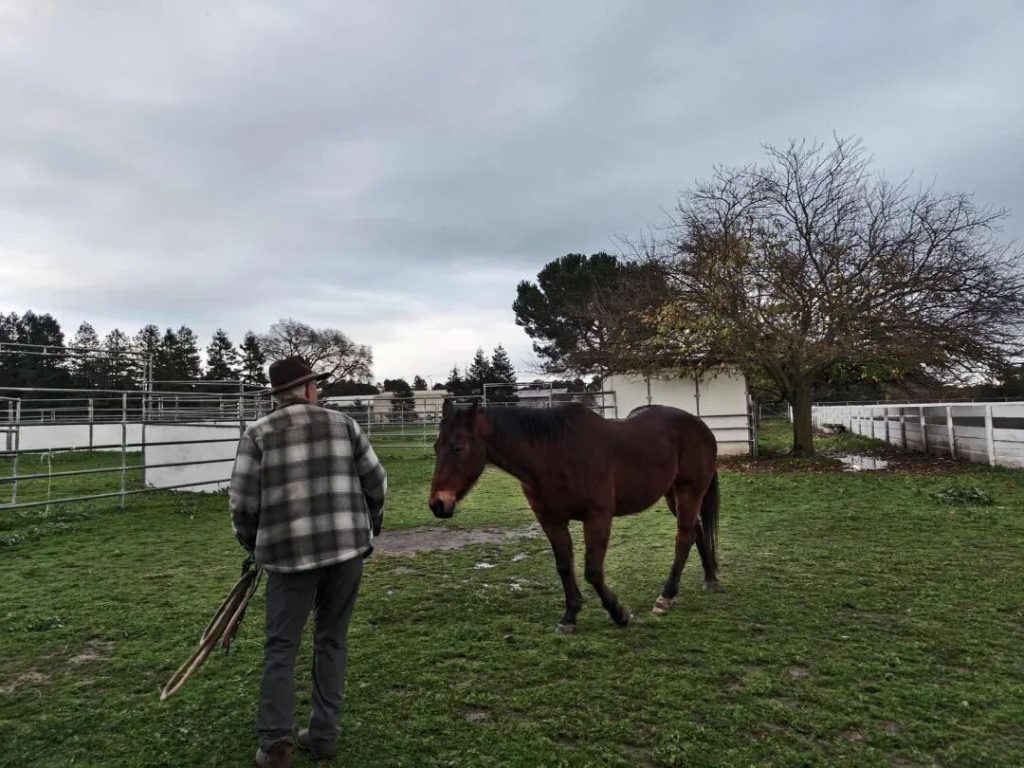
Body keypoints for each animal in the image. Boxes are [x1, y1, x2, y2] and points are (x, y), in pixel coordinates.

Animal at [427, 398, 720, 633]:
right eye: (436, 446)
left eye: (458, 448)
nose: (438, 504)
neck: (554, 453)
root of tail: (700, 426)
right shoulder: (551, 520)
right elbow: (564, 566)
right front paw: (569, 616)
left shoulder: (598, 518)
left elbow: (593, 570)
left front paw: (618, 613)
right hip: (672, 494)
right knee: (696, 531)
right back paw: (710, 578)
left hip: (690, 491)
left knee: (683, 538)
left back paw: (666, 596)